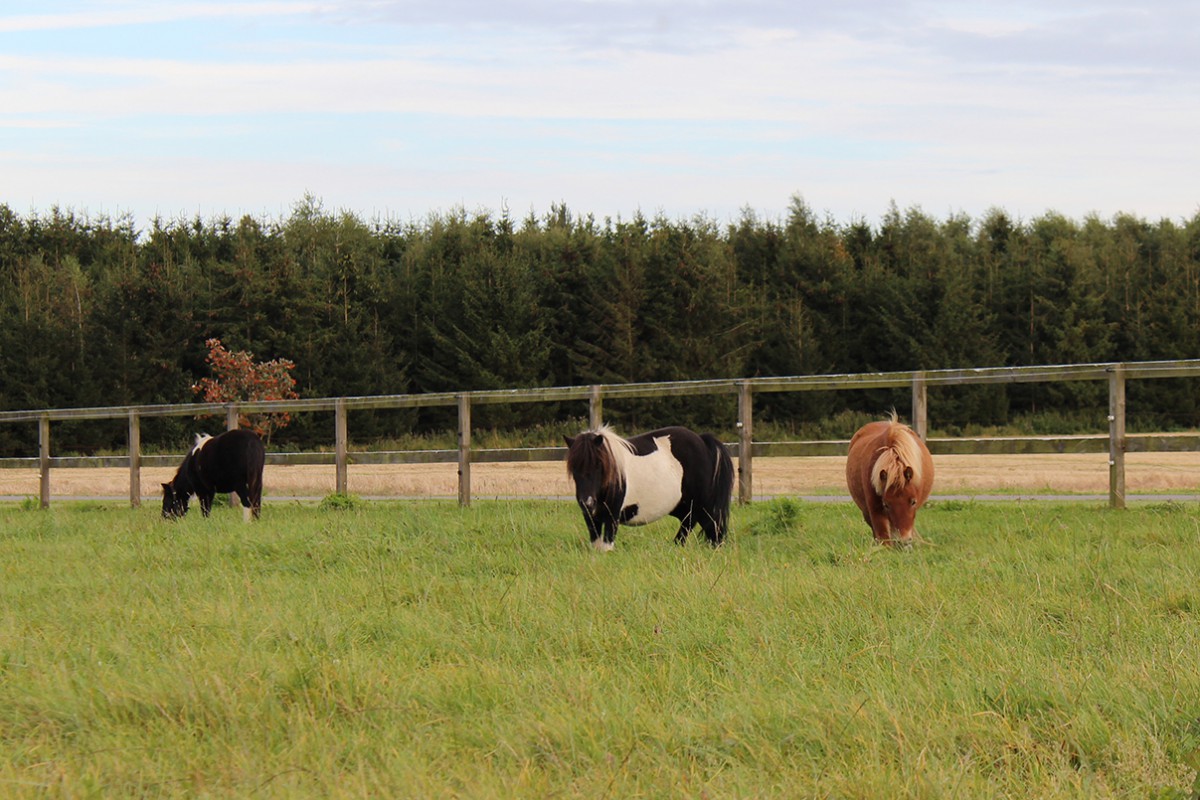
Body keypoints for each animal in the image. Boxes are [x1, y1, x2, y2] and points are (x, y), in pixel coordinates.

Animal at [564, 424, 735, 551]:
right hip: (683, 506)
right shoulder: (591, 517)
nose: (587, 502)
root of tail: (702, 440)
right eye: (574, 467)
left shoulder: (612, 516)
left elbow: (606, 546)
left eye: (598, 465)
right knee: (689, 524)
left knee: (709, 527)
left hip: (702, 505)